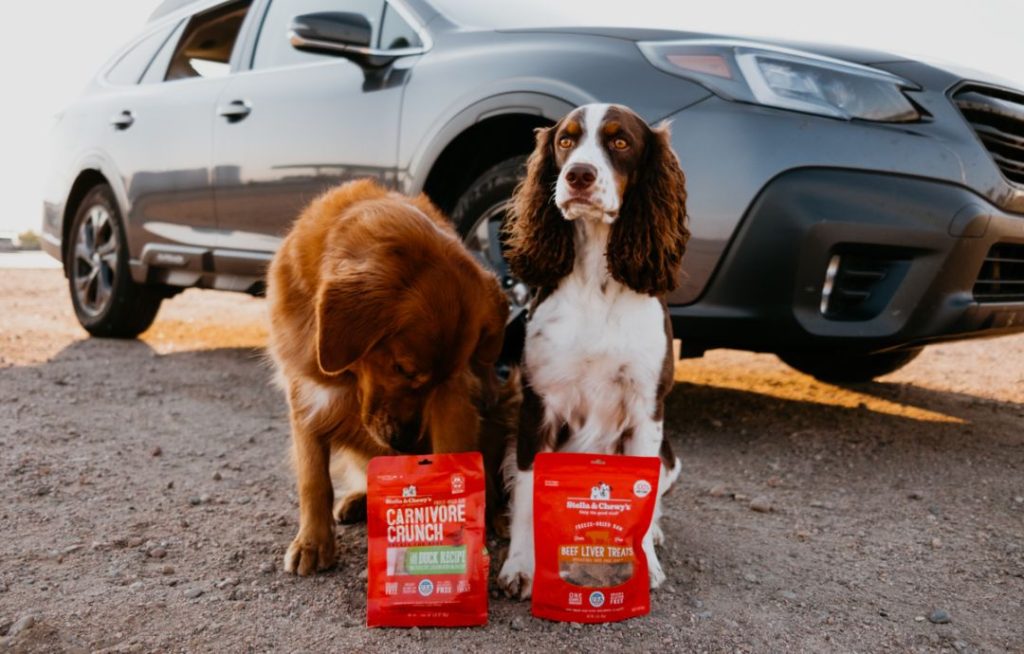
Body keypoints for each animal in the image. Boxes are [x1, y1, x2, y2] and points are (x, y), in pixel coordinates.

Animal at [268, 178, 507, 573]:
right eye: (402, 368)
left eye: (442, 380)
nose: (406, 445)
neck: (349, 376)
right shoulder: (303, 391)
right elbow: (313, 478)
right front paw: (313, 542)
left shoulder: (453, 401)